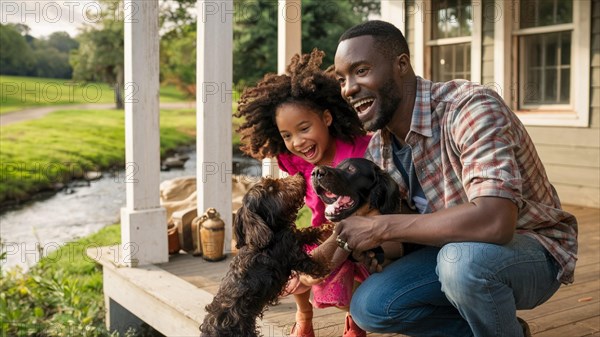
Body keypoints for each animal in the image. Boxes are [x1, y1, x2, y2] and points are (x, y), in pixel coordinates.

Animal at [200, 173, 328, 336]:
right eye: (271, 187)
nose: (299, 174)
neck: (271, 235)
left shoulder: (292, 237)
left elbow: (305, 232)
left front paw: (326, 228)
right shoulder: (292, 255)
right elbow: (313, 264)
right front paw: (329, 267)